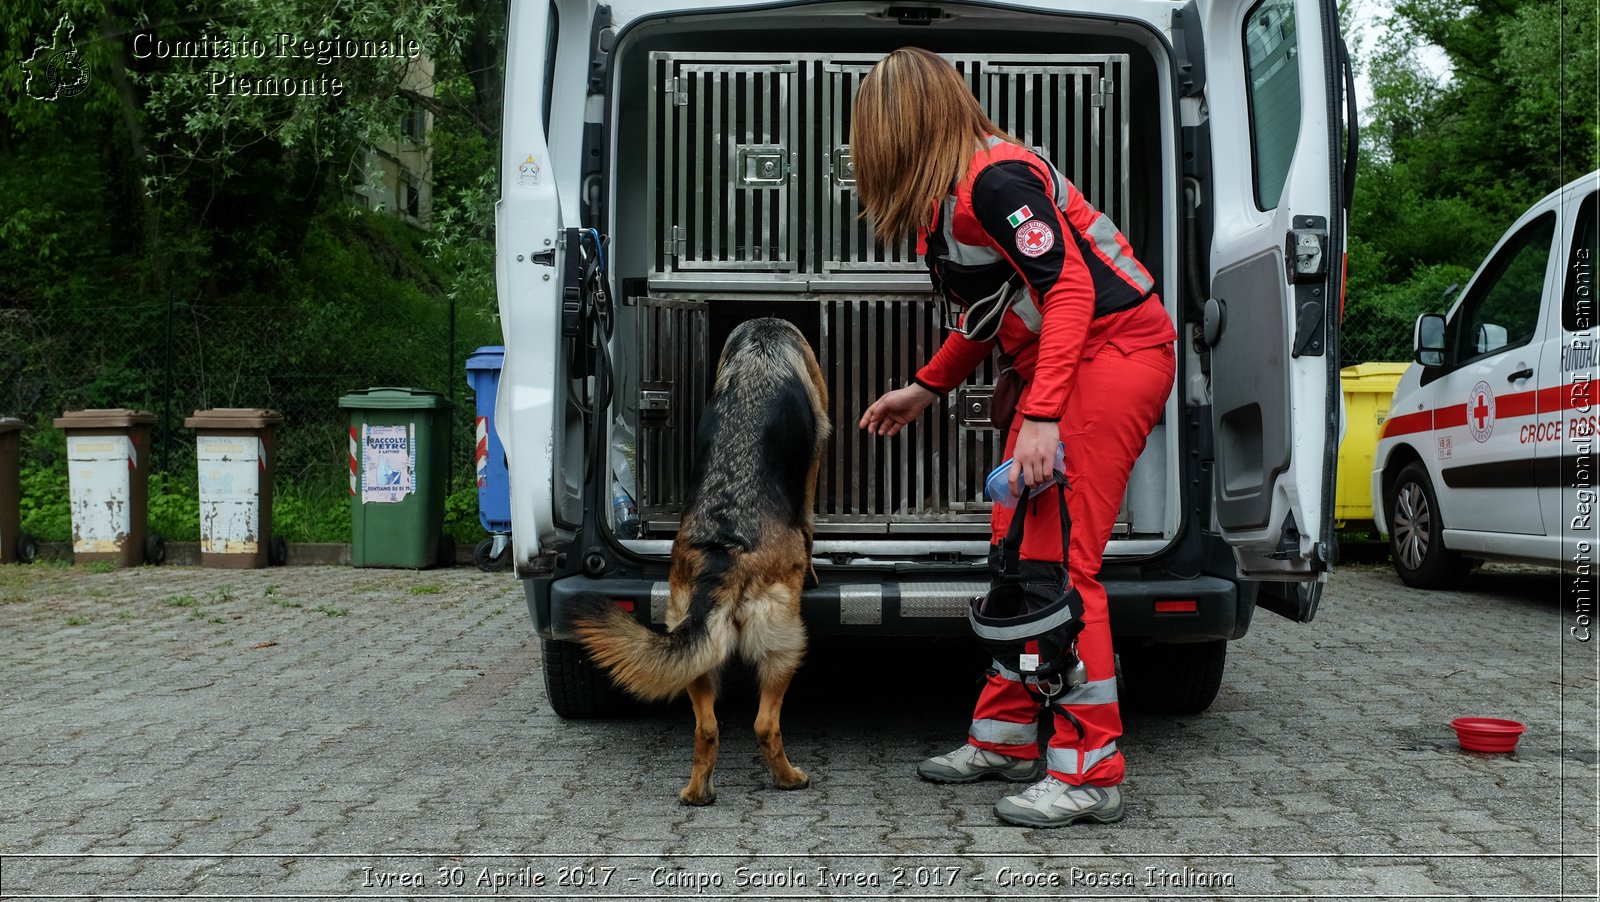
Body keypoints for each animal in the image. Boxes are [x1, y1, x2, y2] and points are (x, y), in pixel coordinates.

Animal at [572, 316, 825, 802]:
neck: (761, 345)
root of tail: (722, 558)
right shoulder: (814, 461)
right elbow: (809, 520)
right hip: (786, 643)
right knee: (764, 724)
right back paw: (788, 778)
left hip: (696, 648)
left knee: (706, 728)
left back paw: (697, 791)